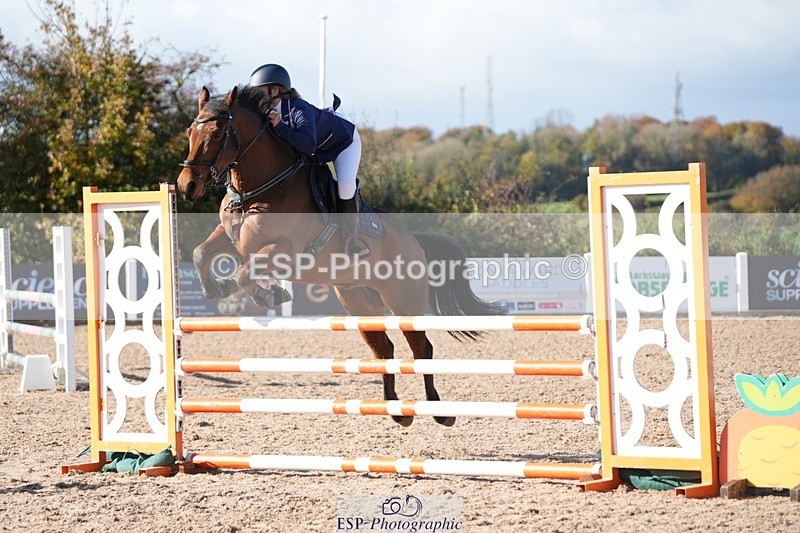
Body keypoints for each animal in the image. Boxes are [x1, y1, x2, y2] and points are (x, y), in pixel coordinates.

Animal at [176, 85, 501, 426]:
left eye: (217, 133)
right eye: (189, 132)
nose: (187, 186)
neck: (258, 192)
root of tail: (414, 241)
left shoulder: (284, 250)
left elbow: (243, 273)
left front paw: (269, 295)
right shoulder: (232, 238)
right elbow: (202, 253)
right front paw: (218, 288)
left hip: (403, 301)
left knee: (422, 348)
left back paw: (439, 412)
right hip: (359, 302)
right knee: (384, 349)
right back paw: (395, 410)